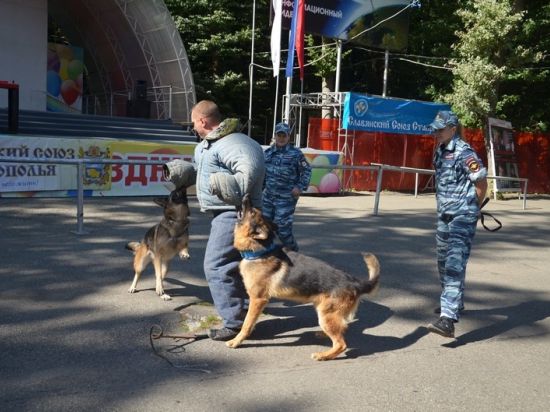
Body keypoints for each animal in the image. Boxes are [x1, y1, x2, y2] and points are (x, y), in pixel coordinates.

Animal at [227, 194, 380, 360]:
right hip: (325, 312)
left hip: (326, 315)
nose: (246, 195)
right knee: (341, 329)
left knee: (341, 344)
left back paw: (323, 355)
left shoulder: (258, 300)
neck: (260, 251)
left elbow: (247, 324)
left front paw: (236, 341)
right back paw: (323, 334)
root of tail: (355, 283)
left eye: (252, 212)